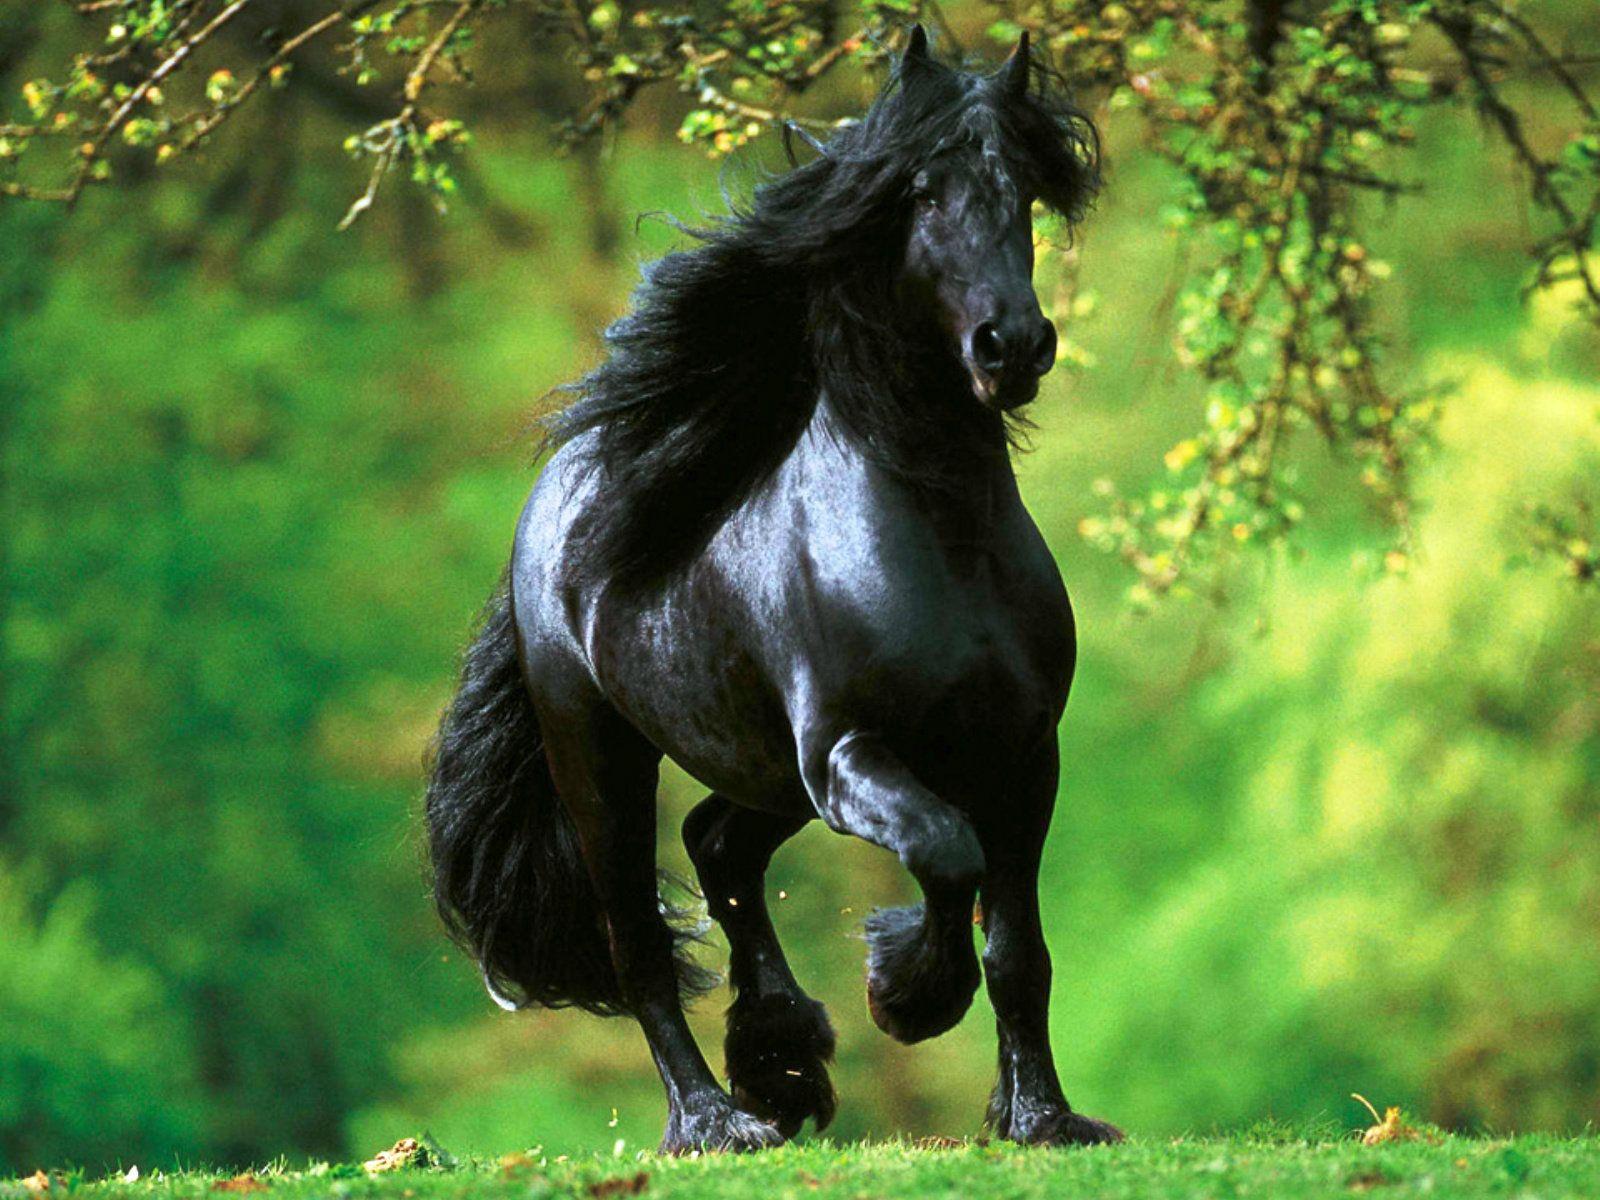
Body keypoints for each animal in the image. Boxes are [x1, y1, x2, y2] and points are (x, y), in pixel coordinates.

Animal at [424, 24, 1120, 1153]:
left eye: (1019, 190)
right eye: (920, 192)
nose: (1012, 345)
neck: (938, 541)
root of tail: (554, 497)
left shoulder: (1021, 755)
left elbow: (1018, 947)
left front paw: (1043, 1117)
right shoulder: (848, 752)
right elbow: (946, 853)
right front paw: (907, 995)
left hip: (762, 774)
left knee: (718, 848)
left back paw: (781, 1058)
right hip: (604, 760)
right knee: (638, 945)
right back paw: (716, 1120)